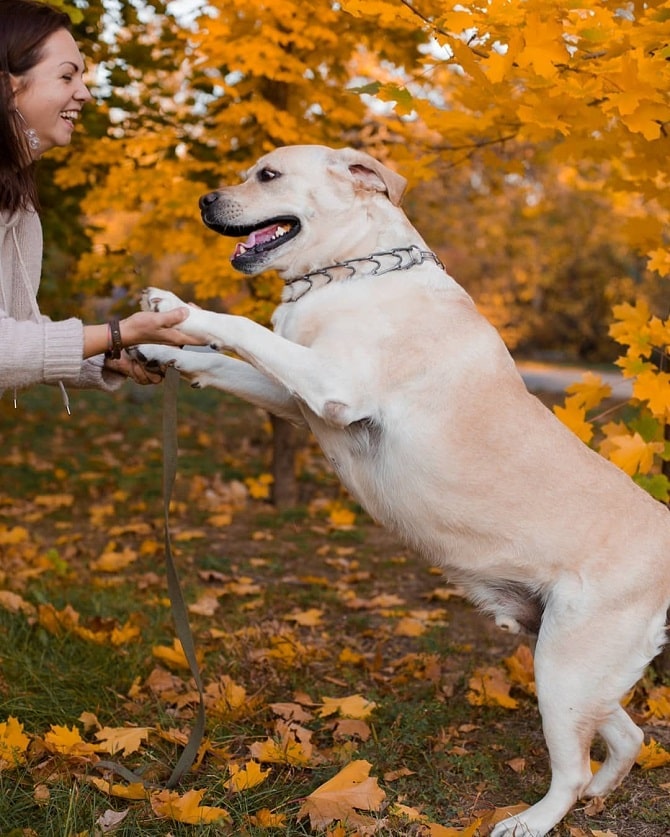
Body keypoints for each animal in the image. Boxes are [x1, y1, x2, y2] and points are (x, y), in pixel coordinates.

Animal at [136, 145, 670, 836]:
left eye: (268, 175)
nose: (203, 200)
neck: (349, 272)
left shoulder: (331, 385)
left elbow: (243, 329)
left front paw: (175, 306)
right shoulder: (292, 398)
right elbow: (222, 359)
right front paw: (157, 348)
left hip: (564, 669)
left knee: (573, 769)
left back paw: (531, 820)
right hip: (569, 662)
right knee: (626, 737)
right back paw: (601, 794)